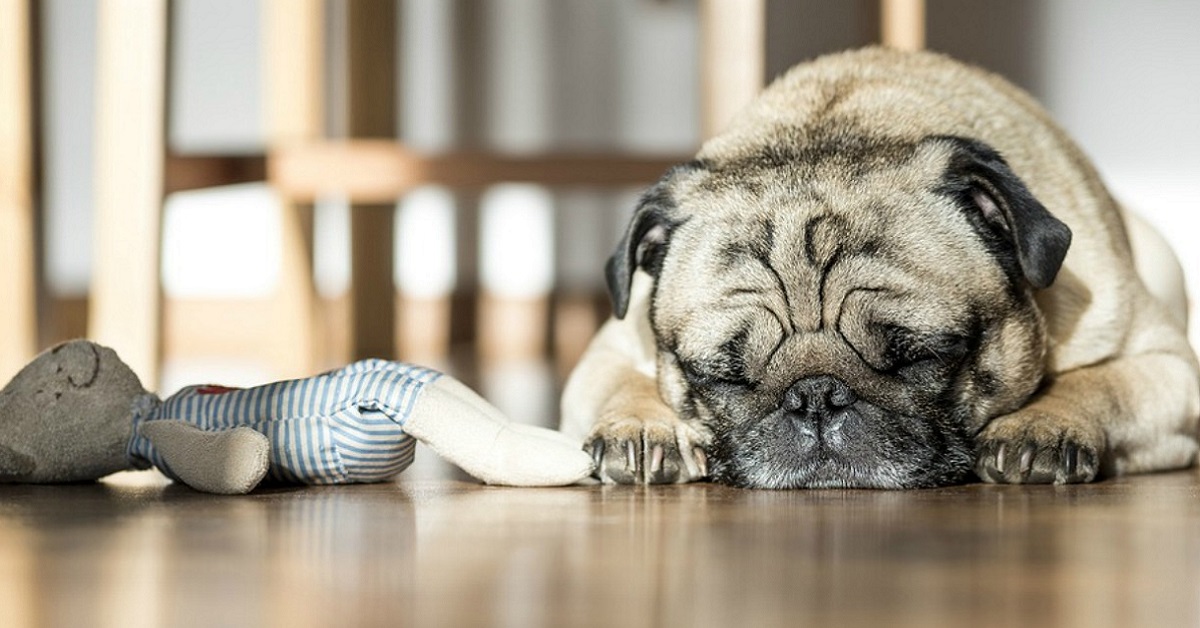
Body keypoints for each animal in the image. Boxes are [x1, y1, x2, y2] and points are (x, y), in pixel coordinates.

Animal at [561, 49, 1200, 492]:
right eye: (722, 376)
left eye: (922, 356)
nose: (815, 397)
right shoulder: (609, 351)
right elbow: (624, 381)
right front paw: (643, 426)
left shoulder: (1171, 369)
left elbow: (1102, 382)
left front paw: (1043, 423)